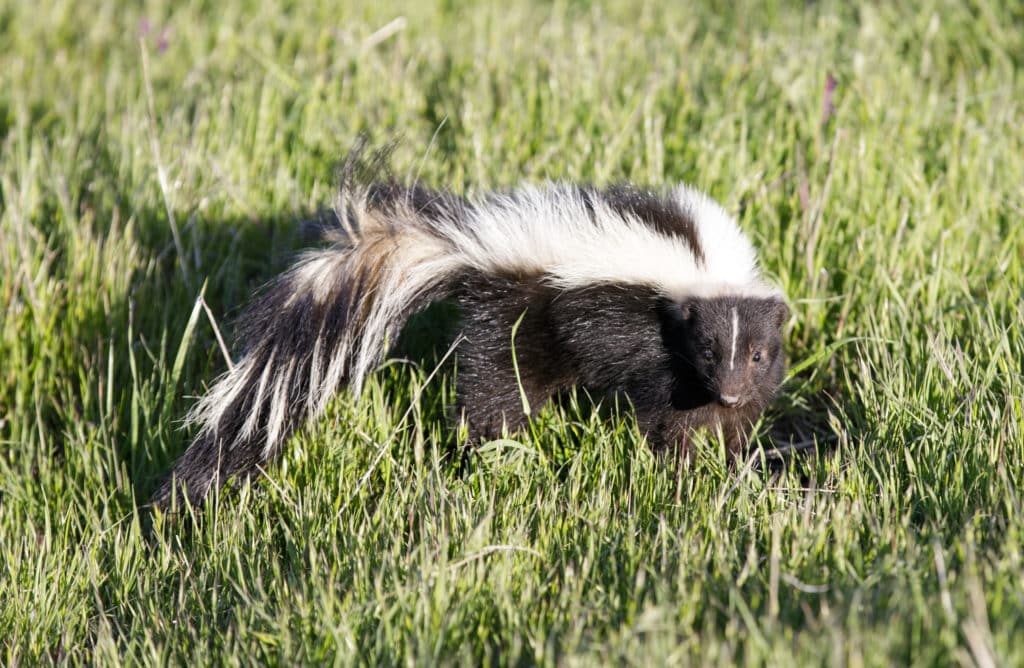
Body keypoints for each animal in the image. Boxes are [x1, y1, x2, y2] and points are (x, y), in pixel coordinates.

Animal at [153, 161, 790, 512]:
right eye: (707, 349)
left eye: (758, 354)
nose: (730, 388)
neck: (703, 265)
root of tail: (470, 247)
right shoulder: (652, 344)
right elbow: (667, 414)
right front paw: (683, 472)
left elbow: (735, 421)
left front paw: (736, 463)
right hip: (517, 321)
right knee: (497, 393)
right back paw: (490, 454)